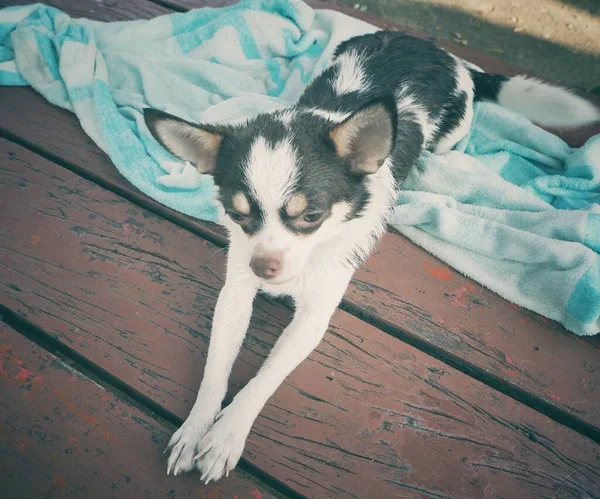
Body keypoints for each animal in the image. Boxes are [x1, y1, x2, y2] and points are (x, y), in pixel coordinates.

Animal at [143, 29, 596, 482]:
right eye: (237, 216)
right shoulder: (235, 294)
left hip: (453, 131)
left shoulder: (312, 320)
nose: (262, 268)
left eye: (311, 216)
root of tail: (445, 53)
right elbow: (215, 368)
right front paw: (196, 428)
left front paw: (227, 435)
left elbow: (264, 378)